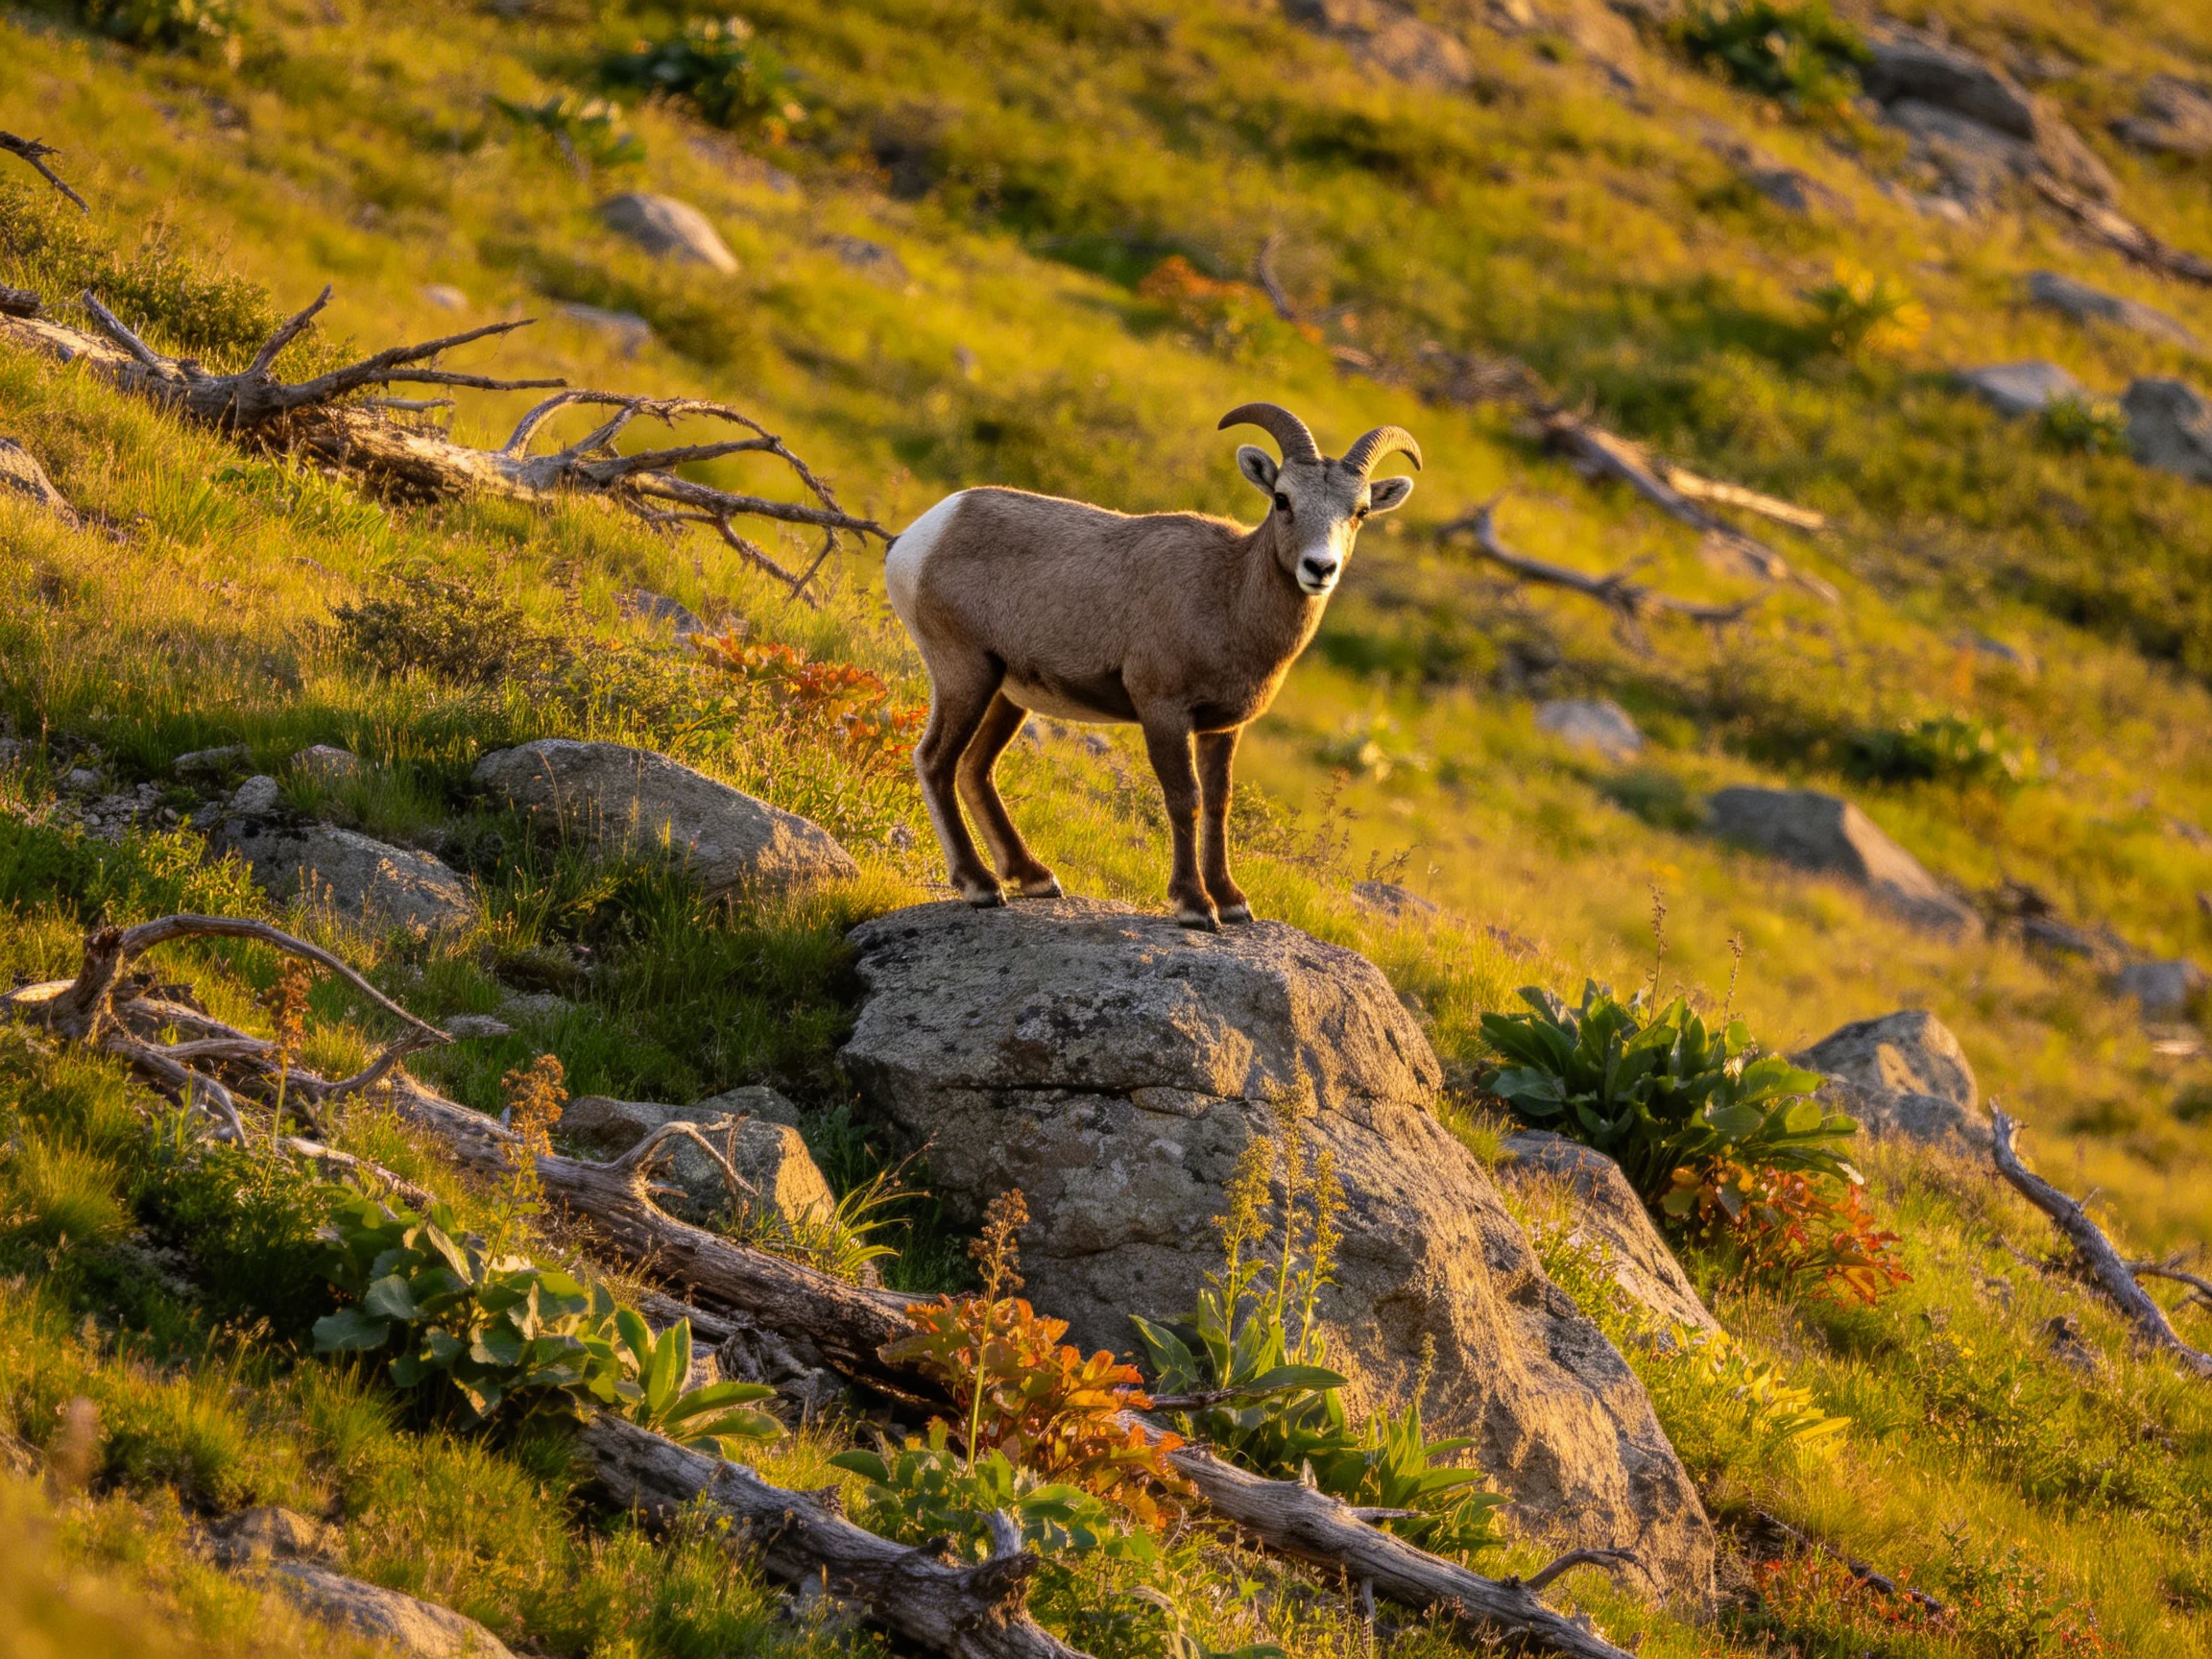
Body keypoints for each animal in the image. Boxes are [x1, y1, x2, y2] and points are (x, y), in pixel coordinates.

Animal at [885, 402, 1420, 928]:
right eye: (1283, 499)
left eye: (1360, 511)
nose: (1319, 569)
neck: (1228, 596)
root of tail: (916, 538)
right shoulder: (1163, 710)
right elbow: (1185, 799)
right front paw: (1195, 906)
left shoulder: (1222, 729)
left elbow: (1219, 803)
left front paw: (1232, 902)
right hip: (965, 676)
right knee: (935, 761)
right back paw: (980, 886)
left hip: (1007, 694)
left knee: (976, 768)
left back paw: (1036, 878)